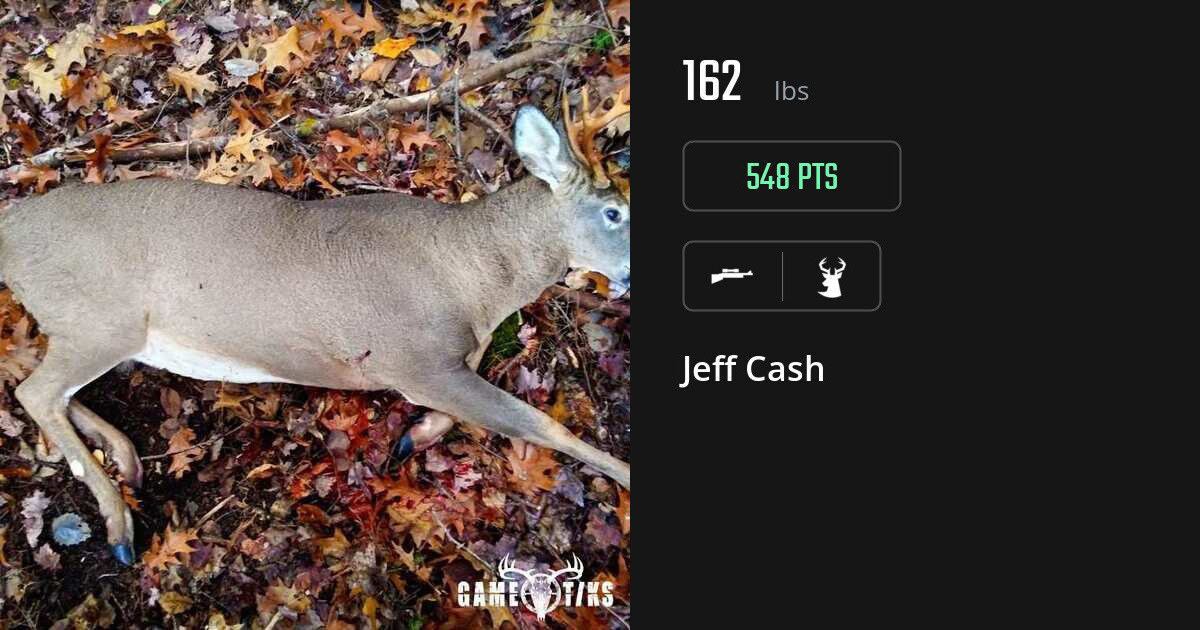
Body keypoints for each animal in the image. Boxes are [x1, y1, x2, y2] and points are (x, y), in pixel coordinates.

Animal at [0, 104, 630, 566]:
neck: (474, 281)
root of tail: (12, 226)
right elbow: (539, 424)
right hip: (102, 314)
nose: (628, 274)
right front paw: (623, 473)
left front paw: (413, 436)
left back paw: (125, 457)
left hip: (87, 324)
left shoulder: (444, 362)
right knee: (35, 390)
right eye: (615, 212)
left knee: (46, 388)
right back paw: (119, 524)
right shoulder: (415, 357)